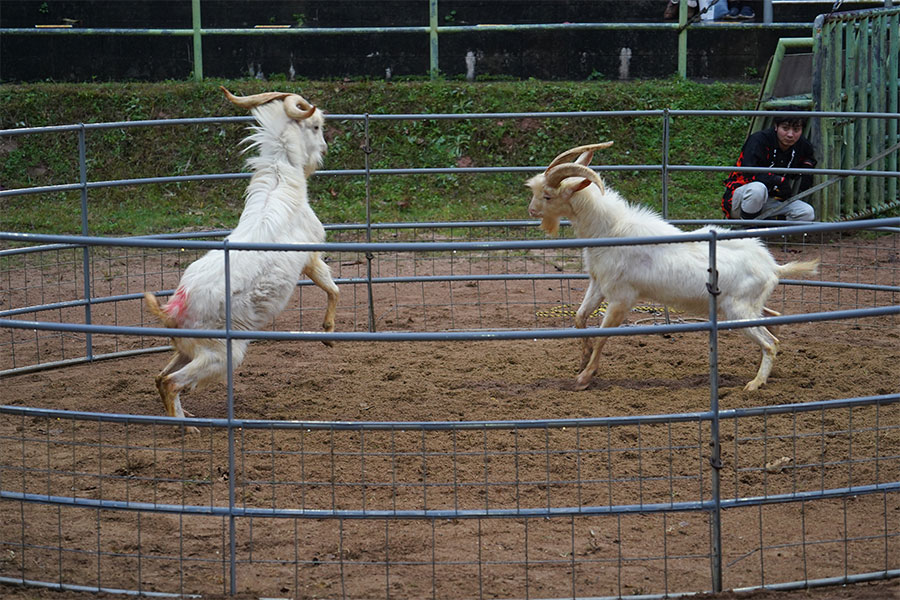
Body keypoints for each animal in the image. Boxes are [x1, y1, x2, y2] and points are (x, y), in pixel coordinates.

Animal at [144, 86, 342, 428]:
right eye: (316, 126)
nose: (324, 150)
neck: (280, 181)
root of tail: (173, 308)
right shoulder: (311, 257)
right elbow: (332, 287)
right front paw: (328, 334)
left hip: (187, 349)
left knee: (159, 378)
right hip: (221, 354)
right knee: (170, 382)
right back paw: (188, 428)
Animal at [528, 143, 824, 392]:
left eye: (548, 195)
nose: (531, 210)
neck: (609, 229)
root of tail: (773, 267)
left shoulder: (622, 297)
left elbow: (603, 335)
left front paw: (585, 377)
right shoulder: (599, 284)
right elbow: (580, 318)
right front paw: (583, 360)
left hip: (738, 311)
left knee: (771, 343)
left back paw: (754, 384)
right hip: (748, 307)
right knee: (774, 319)